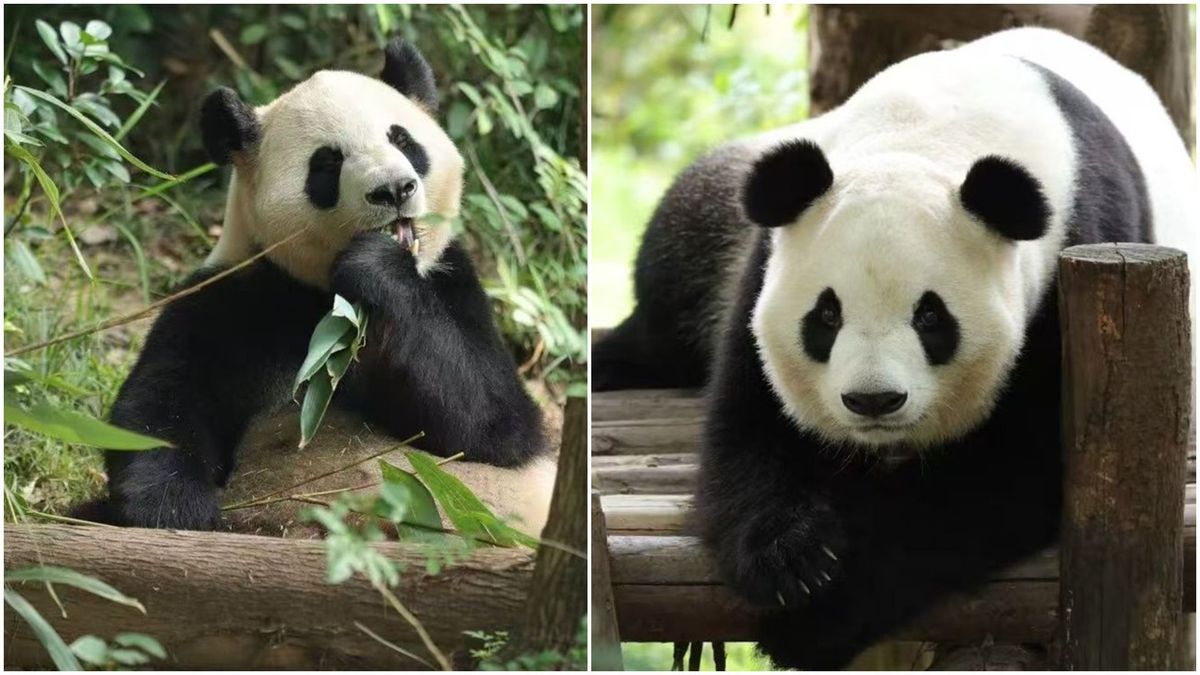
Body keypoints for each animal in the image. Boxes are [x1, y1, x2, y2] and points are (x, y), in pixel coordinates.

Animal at [80, 38, 548, 531]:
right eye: (327, 162)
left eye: (402, 139)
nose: (394, 189)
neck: (326, 296)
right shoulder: (234, 295)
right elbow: (159, 409)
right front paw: (176, 511)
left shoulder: (450, 280)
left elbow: (493, 425)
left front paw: (377, 266)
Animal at [593, 28, 1195, 669]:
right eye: (826, 315)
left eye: (931, 317)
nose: (873, 401)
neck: (925, 138)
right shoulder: (767, 261)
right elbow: (750, 425)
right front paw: (790, 559)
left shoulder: (1071, 265)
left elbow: (1003, 477)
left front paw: (813, 620)